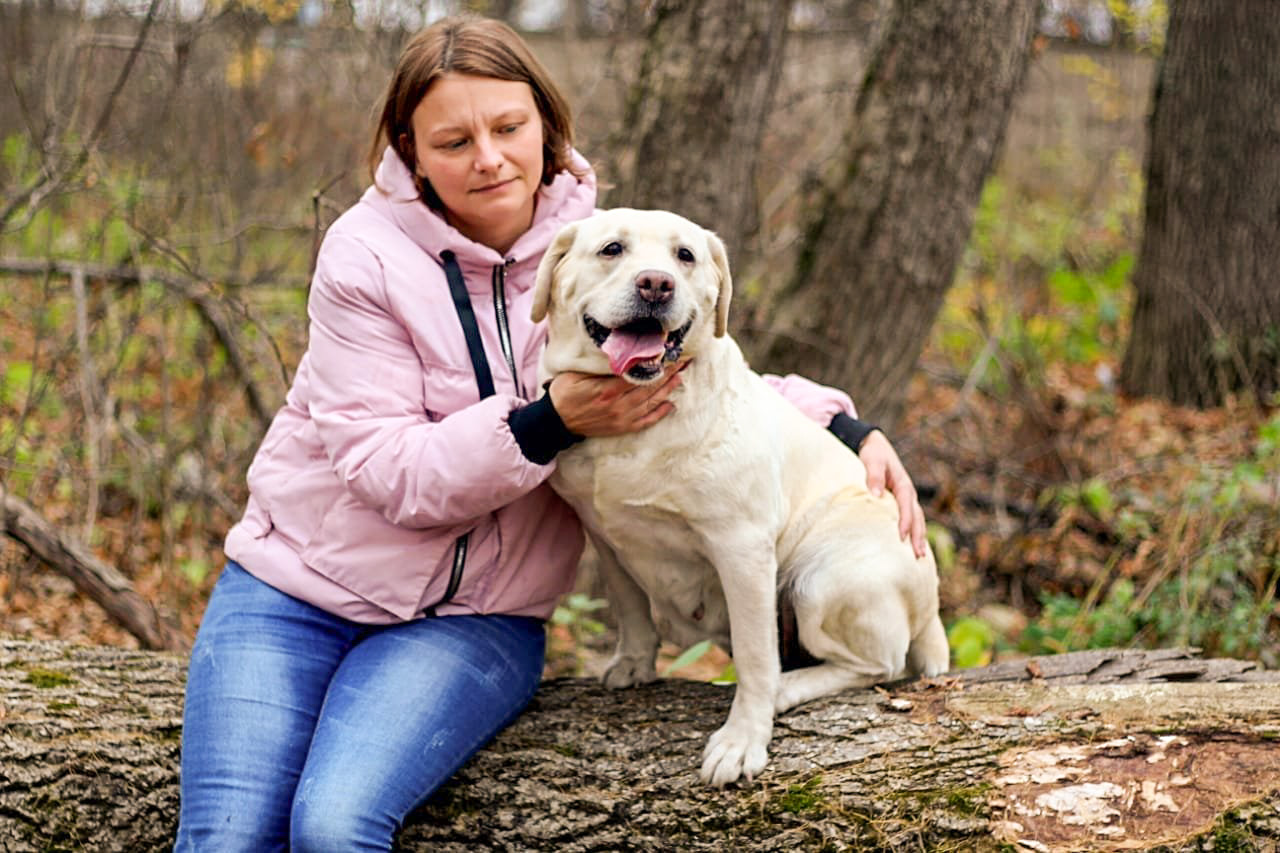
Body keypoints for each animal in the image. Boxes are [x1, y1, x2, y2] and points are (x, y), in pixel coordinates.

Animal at [531, 208, 949, 786]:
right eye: (612, 249)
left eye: (685, 256)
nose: (656, 284)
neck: (635, 426)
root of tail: (932, 607)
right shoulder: (604, 534)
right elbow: (631, 609)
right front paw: (634, 663)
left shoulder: (741, 549)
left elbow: (754, 656)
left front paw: (742, 740)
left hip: (821, 580)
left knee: (877, 665)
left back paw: (786, 691)